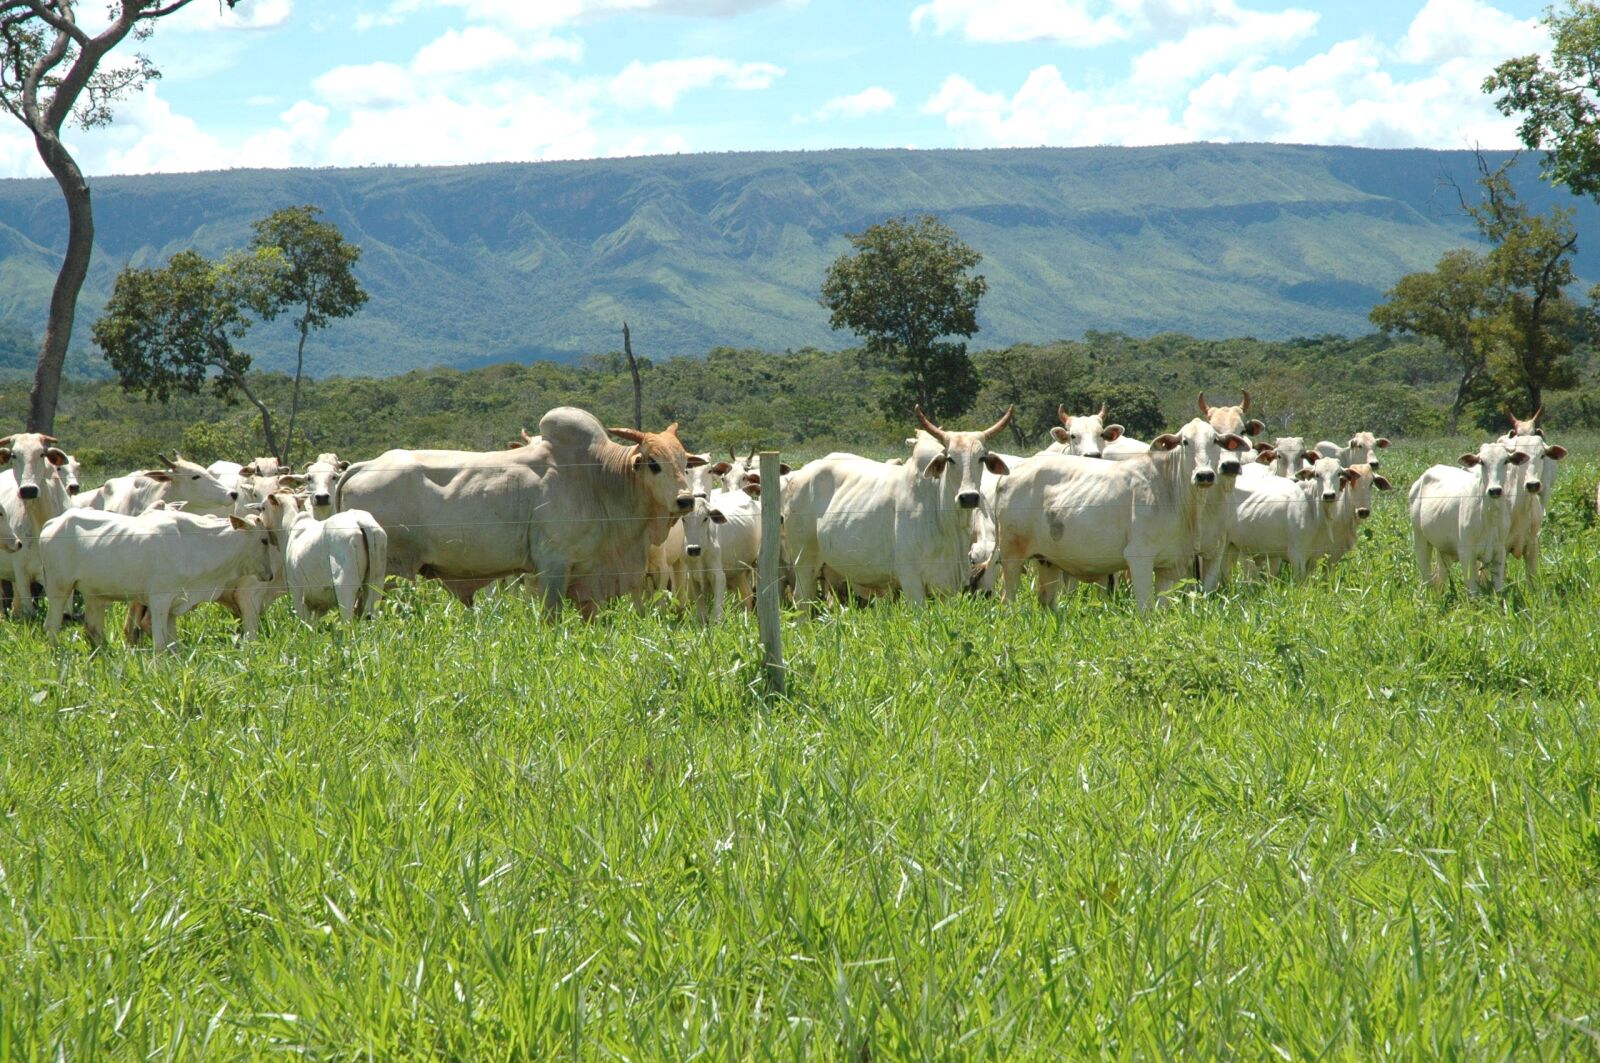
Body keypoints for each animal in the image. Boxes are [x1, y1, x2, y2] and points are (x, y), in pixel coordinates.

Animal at [39, 505, 275, 646]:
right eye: (264, 540)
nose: (270, 575)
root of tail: (52, 523)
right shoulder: (160, 600)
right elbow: (161, 644)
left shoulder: (174, 604)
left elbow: (173, 644)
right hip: (59, 588)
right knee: (51, 625)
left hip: (94, 596)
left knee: (93, 629)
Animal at [784, 406, 1011, 605]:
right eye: (950, 458)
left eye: (981, 458)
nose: (969, 497)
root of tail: (799, 475)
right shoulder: (910, 579)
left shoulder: (946, 586)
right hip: (804, 561)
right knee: (802, 601)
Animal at [998, 419, 1248, 611]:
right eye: (1185, 442)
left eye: (1215, 440)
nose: (1204, 475)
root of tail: (1014, 471)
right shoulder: (1139, 557)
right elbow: (1147, 609)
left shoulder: (1169, 567)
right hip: (1011, 555)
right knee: (1007, 598)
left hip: (1047, 561)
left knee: (1046, 600)